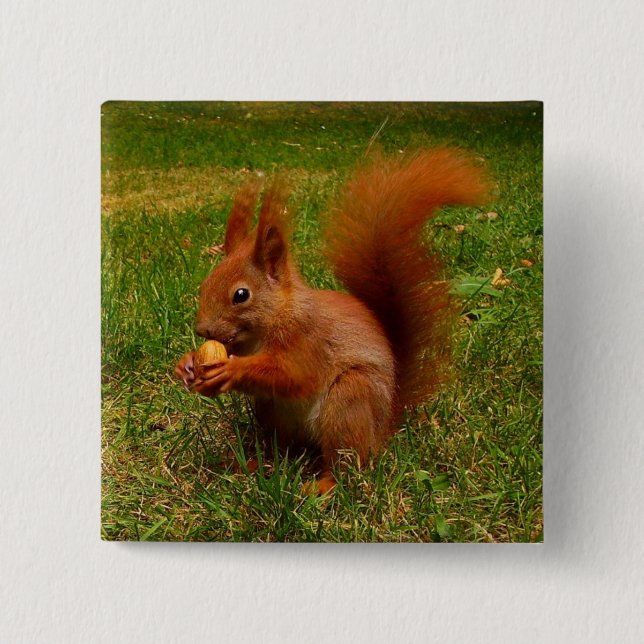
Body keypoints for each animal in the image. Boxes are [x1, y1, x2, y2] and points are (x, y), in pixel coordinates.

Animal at [175, 149, 489, 494]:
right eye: (205, 284)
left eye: (241, 295)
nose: (202, 329)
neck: (272, 321)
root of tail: (383, 428)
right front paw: (187, 365)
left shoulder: (309, 340)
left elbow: (292, 374)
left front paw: (232, 370)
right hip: (272, 412)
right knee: (286, 448)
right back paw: (259, 463)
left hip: (349, 402)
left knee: (347, 463)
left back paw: (323, 485)